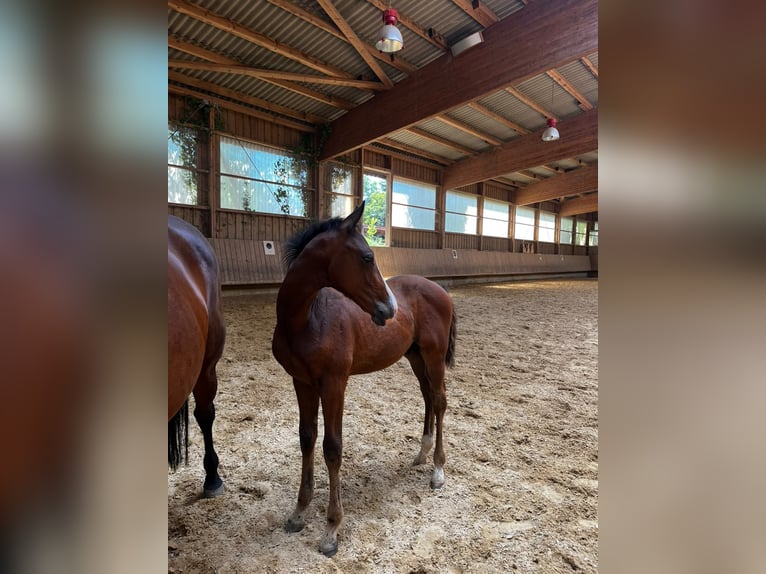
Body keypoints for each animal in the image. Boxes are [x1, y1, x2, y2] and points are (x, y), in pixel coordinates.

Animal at [272, 202, 457, 557]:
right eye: (368, 257)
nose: (391, 308)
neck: (306, 320)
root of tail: (441, 290)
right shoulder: (301, 382)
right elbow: (306, 438)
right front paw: (298, 512)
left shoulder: (334, 383)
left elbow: (332, 447)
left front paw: (331, 529)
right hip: (415, 356)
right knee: (428, 396)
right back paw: (422, 453)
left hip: (434, 355)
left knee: (440, 400)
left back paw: (438, 469)